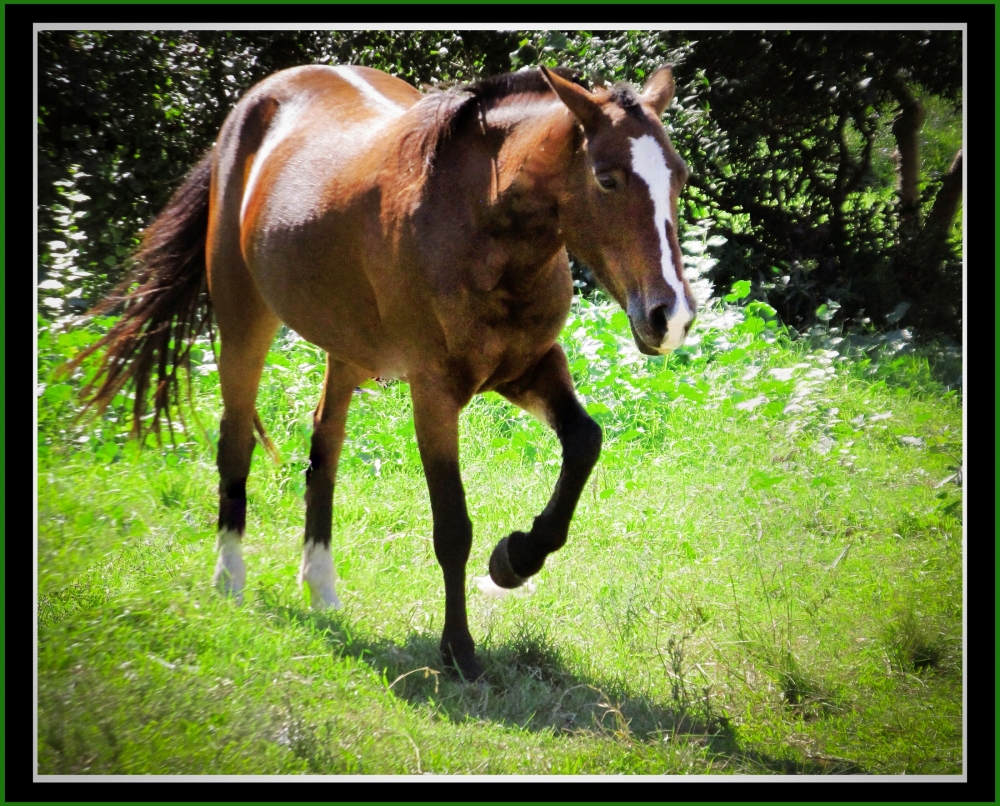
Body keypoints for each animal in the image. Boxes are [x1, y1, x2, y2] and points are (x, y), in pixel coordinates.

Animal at [72, 64, 696, 680]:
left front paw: (514, 559)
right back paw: (230, 579)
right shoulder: (435, 393)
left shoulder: (531, 367)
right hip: (244, 323)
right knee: (235, 446)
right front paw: (459, 650)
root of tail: (255, 103)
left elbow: (584, 442)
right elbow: (453, 526)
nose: (670, 317)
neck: (479, 222)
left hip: (345, 351)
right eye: (608, 179)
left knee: (323, 452)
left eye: (680, 177)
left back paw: (321, 588)